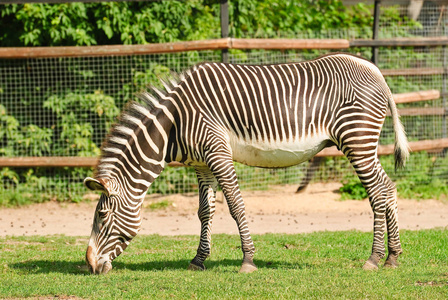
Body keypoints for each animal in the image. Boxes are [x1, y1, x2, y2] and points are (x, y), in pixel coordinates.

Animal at [84, 53, 410, 274]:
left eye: (101, 215)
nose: (89, 265)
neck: (174, 125)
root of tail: (374, 70)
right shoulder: (202, 164)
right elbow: (205, 211)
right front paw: (198, 260)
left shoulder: (217, 153)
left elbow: (236, 206)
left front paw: (248, 260)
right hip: (363, 144)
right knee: (389, 188)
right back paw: (392, 257)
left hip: (357, 140)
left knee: (376, 194)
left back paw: (373, 258)